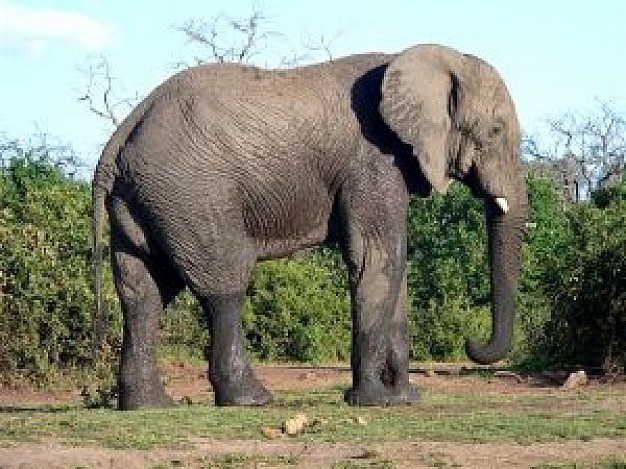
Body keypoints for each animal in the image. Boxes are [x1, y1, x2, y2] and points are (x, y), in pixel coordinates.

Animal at [90, 44, 524, 410]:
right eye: (496, 130)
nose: (470, 341)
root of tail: (121, 135)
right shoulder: (373, 161)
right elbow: (376, 258)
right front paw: (372, 401)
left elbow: (394, 266)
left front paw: (404, 399)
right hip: (193, 194)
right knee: (223, 287)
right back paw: (252, 400)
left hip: (145, 201)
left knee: (143, 294)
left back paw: (149, 406)